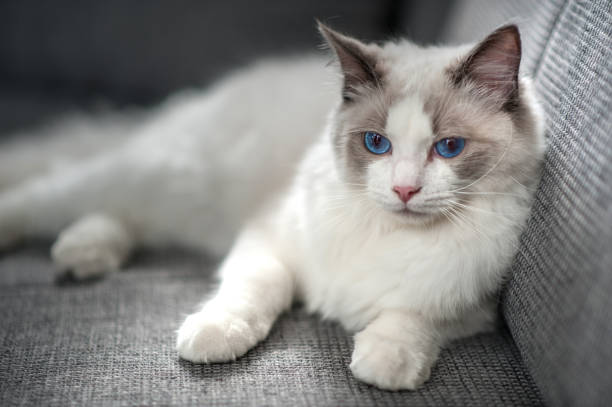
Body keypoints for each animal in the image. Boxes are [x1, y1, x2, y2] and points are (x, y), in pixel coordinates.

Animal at [0, 23, 544, 392]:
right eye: (376, 143)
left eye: (449, 148)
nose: (404, 190)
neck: (388, 234)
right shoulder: (269, 238)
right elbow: (258, 289)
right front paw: (214, 336)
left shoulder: (474, 303)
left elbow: (414, 315)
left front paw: (384, 363)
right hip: (164, 176)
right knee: (54, 192)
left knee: (119, 217)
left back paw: (82, 256)